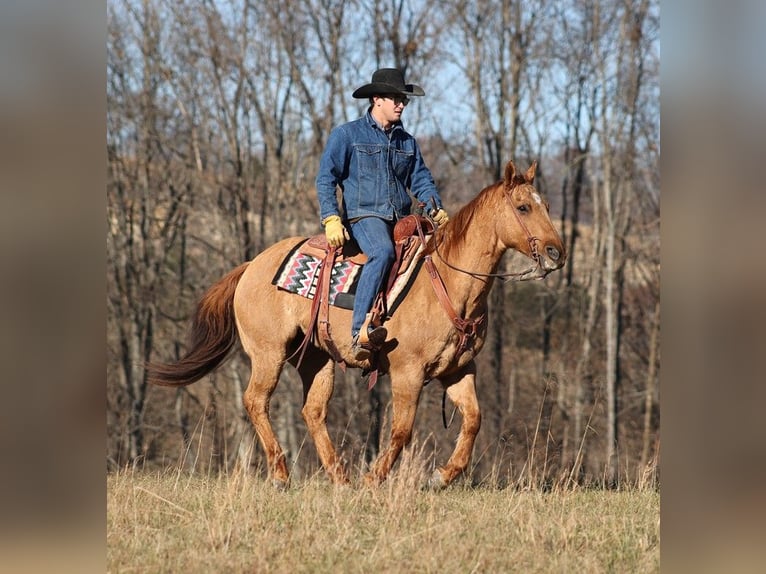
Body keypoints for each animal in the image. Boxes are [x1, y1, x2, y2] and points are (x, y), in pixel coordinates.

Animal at [150, 161, 568, 490]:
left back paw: (341, 478)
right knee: (256, 401)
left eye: (548, 206)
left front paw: (441, 476)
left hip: (316, 359)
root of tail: (252, 264)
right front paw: (375, 477)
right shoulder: (408, 372)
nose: (556, 253)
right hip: (269, 353)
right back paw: (282, 475)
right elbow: (401, 430)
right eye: (523, 206)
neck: (449, 282)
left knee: (313, 413)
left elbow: (473, 421)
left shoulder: (459, 370)